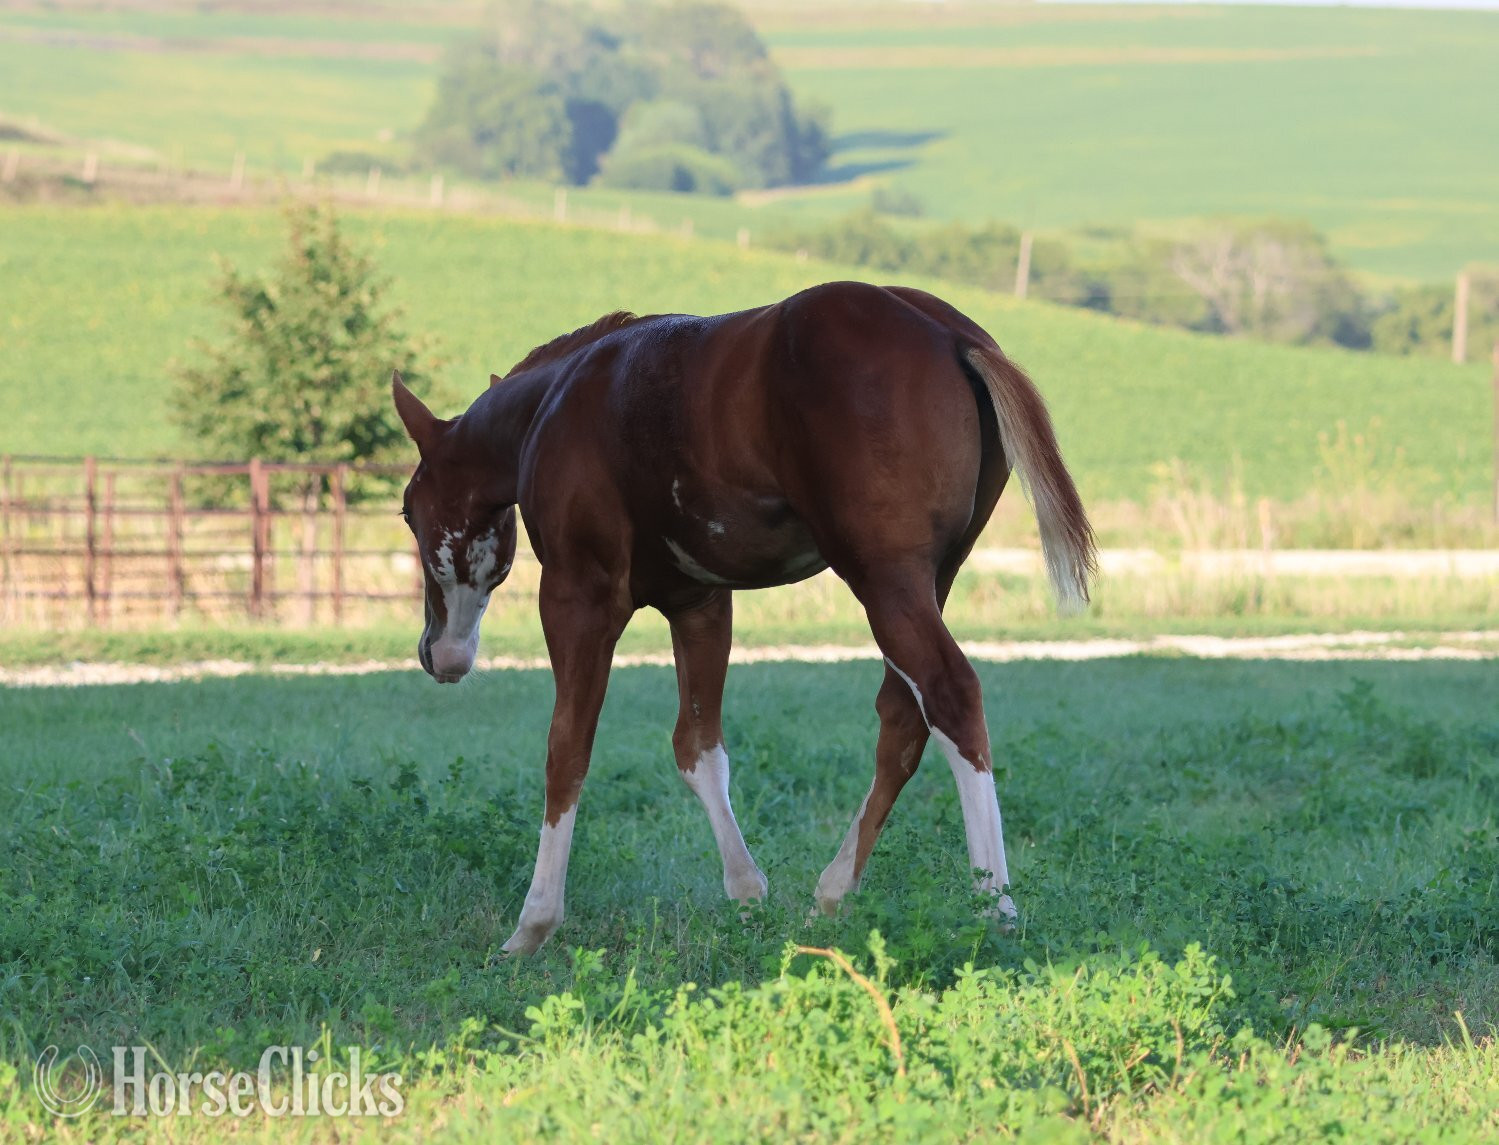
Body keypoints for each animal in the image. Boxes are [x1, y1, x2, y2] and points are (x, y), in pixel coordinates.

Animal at [392, 280, 1095, 955]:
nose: (439, 655)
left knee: (951, 695)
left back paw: (996, 910)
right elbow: (698, 747)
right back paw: (832, 897)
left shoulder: (578, 595)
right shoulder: (699, 603)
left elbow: (567, 746)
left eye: (406, 509)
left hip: (886, 581)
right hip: (930, 581)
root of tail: (950, 332)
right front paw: (748, 895)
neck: (558, 404)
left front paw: (534, 924)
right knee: (904, 719)